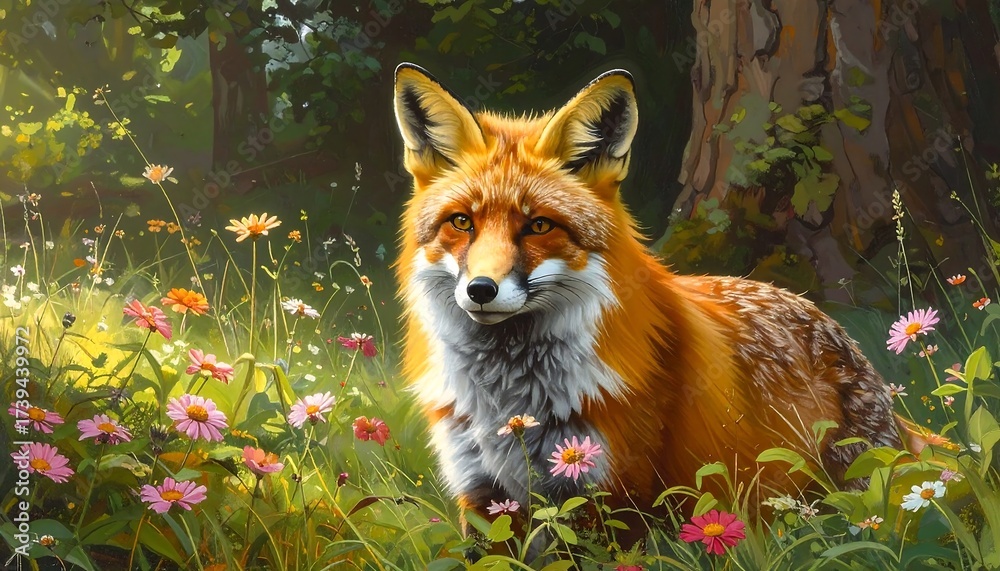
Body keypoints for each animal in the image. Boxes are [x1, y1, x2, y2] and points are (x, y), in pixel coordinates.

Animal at [392, 62, 905, 543]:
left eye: (538, 226)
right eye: (462, 222)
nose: (481, 290)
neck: (507, 403)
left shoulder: (615, 498)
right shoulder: (484, 498)